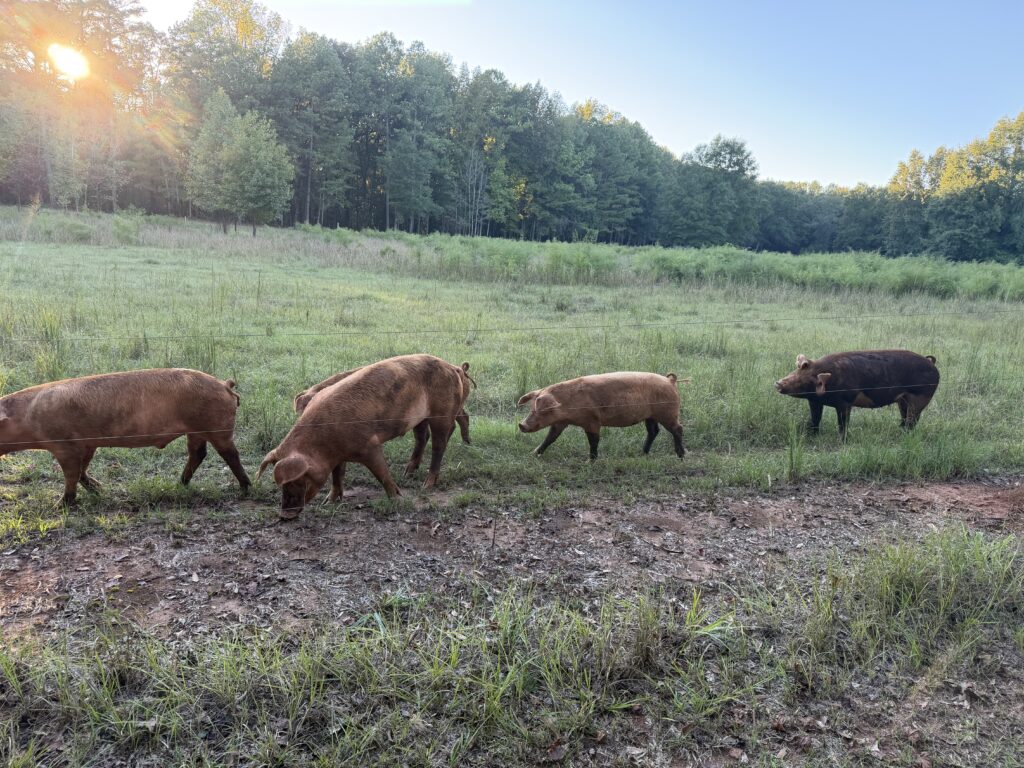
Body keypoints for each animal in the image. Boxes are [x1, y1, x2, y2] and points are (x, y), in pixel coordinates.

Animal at [0, 368, 250, 506]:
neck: (27, 418)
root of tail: (225, 385)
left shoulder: (64, 445)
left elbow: (71, 474)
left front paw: (60, 506)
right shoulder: (87, 444)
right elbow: (82, 470)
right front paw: (99, 490)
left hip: (217, 427)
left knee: (230, 454)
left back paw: (245, 489)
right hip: (195, 431)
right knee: (198, 454)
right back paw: (180, 484)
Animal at [258, 354, 472, 519]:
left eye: (298, 480)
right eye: (280, 485)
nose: (284, 515)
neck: (324, 443)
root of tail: (453, 368)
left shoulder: (369, 445)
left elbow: (381, 473)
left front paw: (397, 499)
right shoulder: (338, 455)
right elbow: (337, 475)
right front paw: (328, 503)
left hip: (442, 413)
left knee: (439, 444)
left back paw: (426, 485)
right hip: (420, 418)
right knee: (422, 437)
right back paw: (408, 473)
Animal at [517, 372, 685, 460]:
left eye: (543, 410)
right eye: (531, 409)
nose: (522, 425)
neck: (567, 404)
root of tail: (670, 380)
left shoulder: (592, 421)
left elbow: (593, 440)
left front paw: (590, 461)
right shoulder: (560, 423)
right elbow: (550, 438)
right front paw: (534, 454)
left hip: (668, 413)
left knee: (678, 429)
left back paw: (680, 456)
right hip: (650, 416)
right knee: (653, 431)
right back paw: (642, 453)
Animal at [774, 350, 940, 439]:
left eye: (804, 379)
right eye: (796, 371)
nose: (778, 383)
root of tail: (931, 363)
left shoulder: (845, 402)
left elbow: (843, 423)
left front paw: (842, 441)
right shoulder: (814, 401)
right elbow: (815, 419)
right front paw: (811, 435)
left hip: (921, 397)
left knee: (912, 420)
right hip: (903, 400)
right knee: (905, 418)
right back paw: (900, 431)